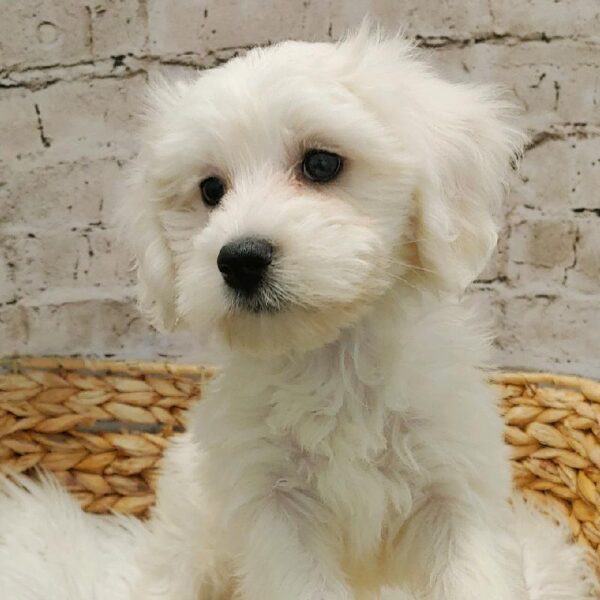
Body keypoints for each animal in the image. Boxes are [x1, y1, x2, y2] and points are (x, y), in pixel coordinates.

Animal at [0, 23, 596, 600]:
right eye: (210, 190)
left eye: (321, 164)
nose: (239, 259)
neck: (332, 358)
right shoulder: (275, 510)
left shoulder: (454, 486)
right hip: (190, 528)